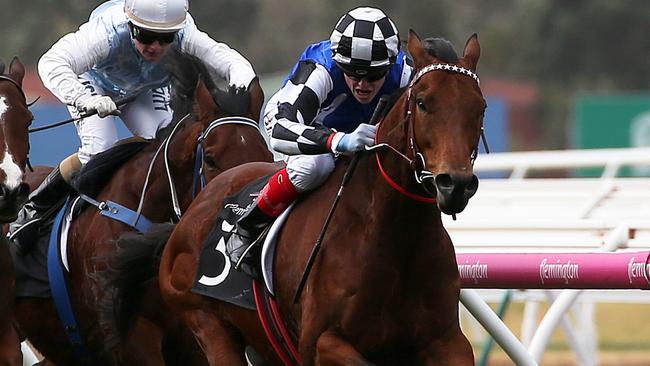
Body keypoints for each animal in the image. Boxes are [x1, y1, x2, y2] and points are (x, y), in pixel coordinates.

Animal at [149, 32, 484, 366]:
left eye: (480, 107)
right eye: (423, 102)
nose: (455, 184)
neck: (394, 240)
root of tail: (194, 209)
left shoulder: (447, 342)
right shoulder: (319, 341)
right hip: (206, 322)